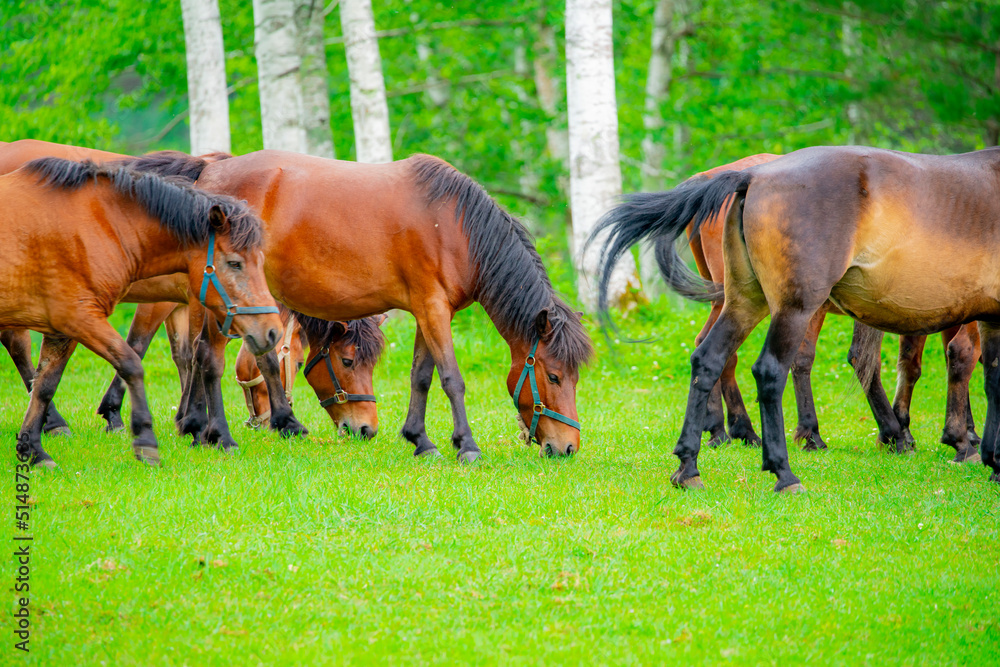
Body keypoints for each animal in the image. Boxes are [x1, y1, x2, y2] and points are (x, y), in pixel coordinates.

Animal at [0, 158, 282, 467]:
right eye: (234, 263)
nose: (272, 330)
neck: (98, 225)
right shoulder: (79, 318)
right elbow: (133, 363)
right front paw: (147, 440)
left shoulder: (62, 330)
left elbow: (44, 386)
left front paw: (34, 450)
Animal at [595, 145, 1000, 490]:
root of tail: (750, 176)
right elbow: (950, 359)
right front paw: (956, 440)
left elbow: (983, 376)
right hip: (794, 307)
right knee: (769, 369)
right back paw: (779, 464)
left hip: (746, 301)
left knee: (709, 356)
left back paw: (694, 462)